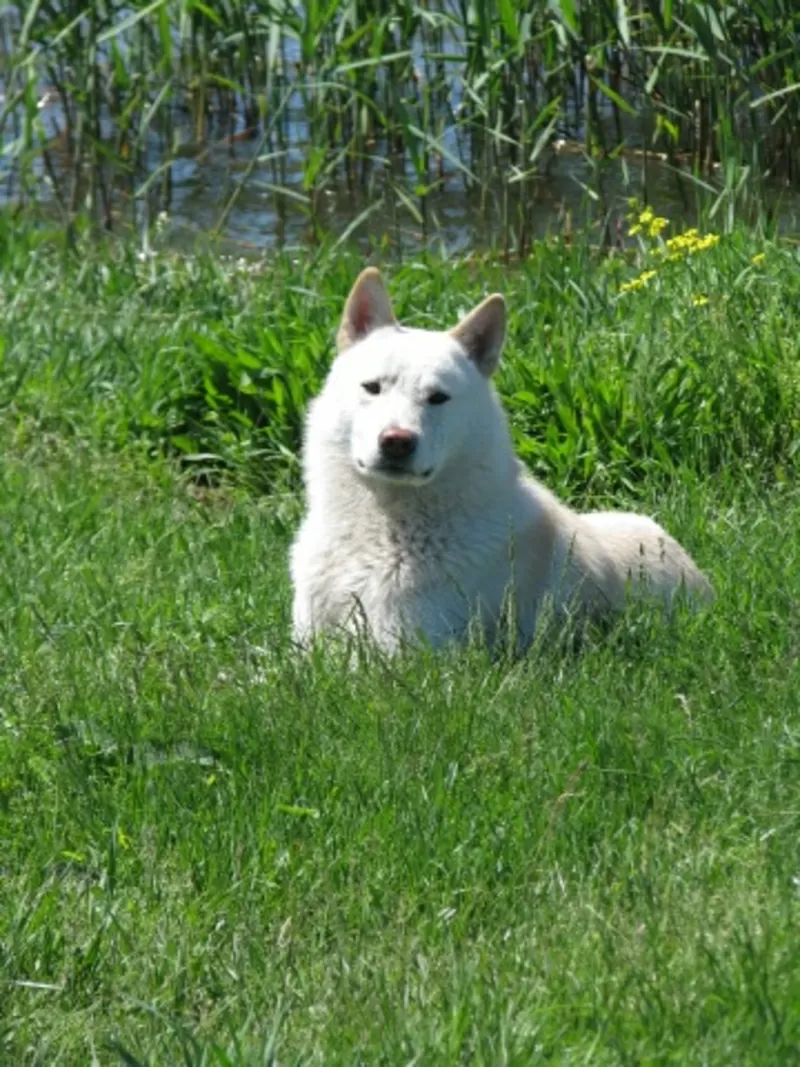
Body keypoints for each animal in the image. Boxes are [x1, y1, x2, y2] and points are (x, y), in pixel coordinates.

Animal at [292, 268, 716, 648]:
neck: (379, 532)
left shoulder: (402, 653)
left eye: (438, 398)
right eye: (372, 387)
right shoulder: (305, 644)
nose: (397, 441)